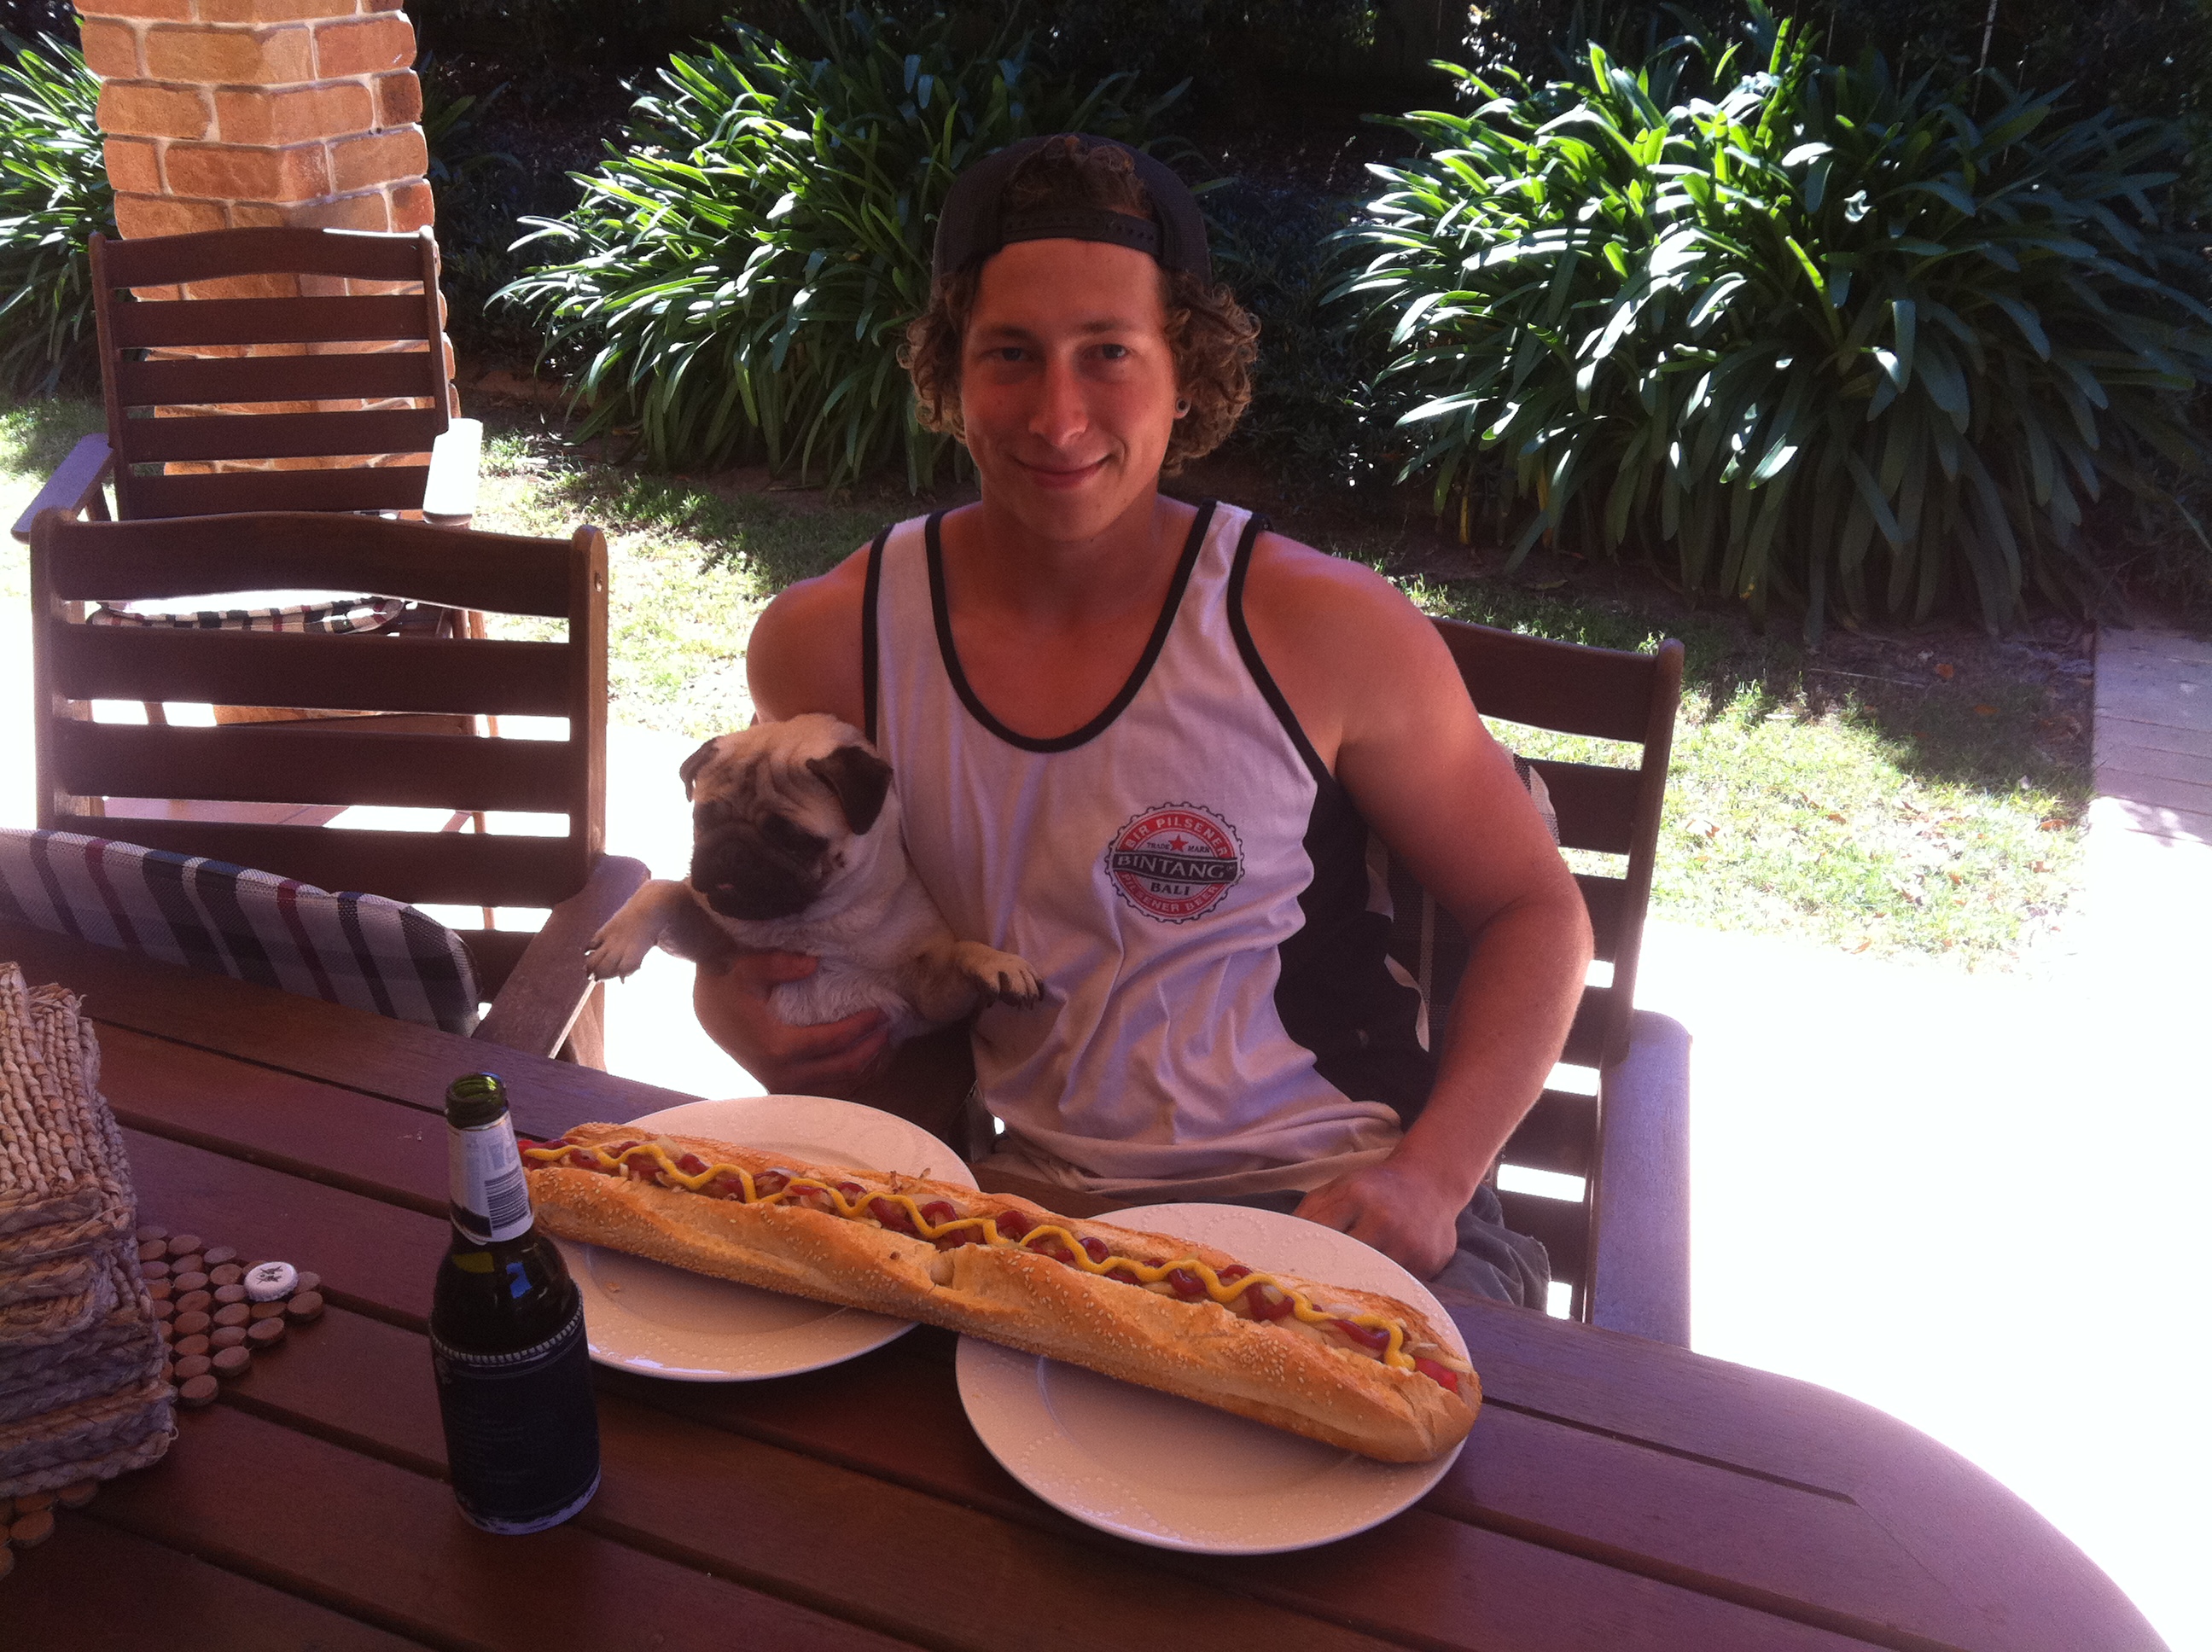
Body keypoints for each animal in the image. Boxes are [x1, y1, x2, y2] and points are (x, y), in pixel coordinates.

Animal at [584, 713, 1042, 1042]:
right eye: (704, 819)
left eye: (792, 839)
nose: (731, 850)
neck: (812, 927)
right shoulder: (716, 951)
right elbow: (662, 890)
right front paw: (620, 941)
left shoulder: (933, 1001)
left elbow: (962, 950)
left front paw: (998, 963)